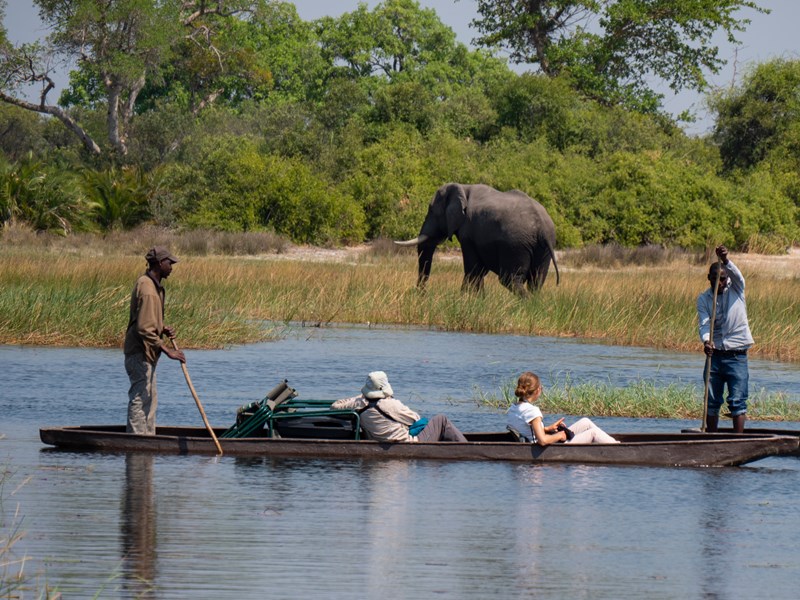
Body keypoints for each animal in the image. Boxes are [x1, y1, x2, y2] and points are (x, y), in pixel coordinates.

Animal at [392, 183, 556, 296]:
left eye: (431, 211)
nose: (421, 294)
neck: (463, 188)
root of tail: (542, 227)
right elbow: (479, 271)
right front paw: (477, 300)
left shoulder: (468, 232)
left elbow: (473, 269)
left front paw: (464, 299)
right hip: (543, 248)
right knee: (536, 280)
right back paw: (531, 305)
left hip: (516, 245)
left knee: (510, 280)